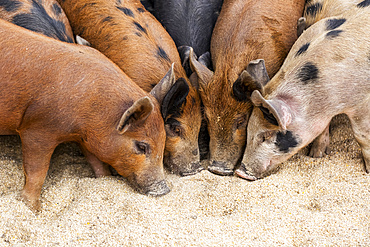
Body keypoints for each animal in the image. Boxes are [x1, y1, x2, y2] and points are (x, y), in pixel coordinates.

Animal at [0, 19, 173, 211]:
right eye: (142, 146)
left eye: (164, 139)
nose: (164, 189)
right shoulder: (37, 129)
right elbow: (37, 172)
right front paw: (33, 209)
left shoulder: (85, 138)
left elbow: (97, 163)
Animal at [237, 4, 370, 180]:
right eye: (248, 130)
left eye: (266, 136)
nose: (240, 172)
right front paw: (316, 155)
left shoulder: (361, 101)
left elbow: (361, 135)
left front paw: (368, 171)